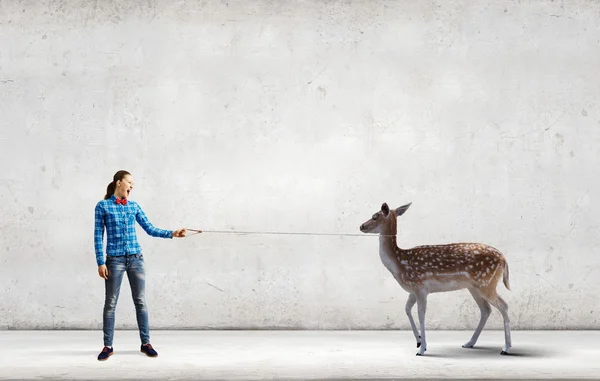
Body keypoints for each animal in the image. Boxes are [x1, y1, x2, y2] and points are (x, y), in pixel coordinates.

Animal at [358, 203, 512, 354]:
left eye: (374, 216)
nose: (361, 226)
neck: (399, 264)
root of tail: (504, 259)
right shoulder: (413, 290)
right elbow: (407, 309)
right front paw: (419, 341)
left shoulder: (420, 287)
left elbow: (421, 315)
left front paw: (422, 349)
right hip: (474, 287)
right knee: (486, 310)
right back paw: (469, 343)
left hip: (486, 283)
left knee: (503, 305)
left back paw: (506, 347)